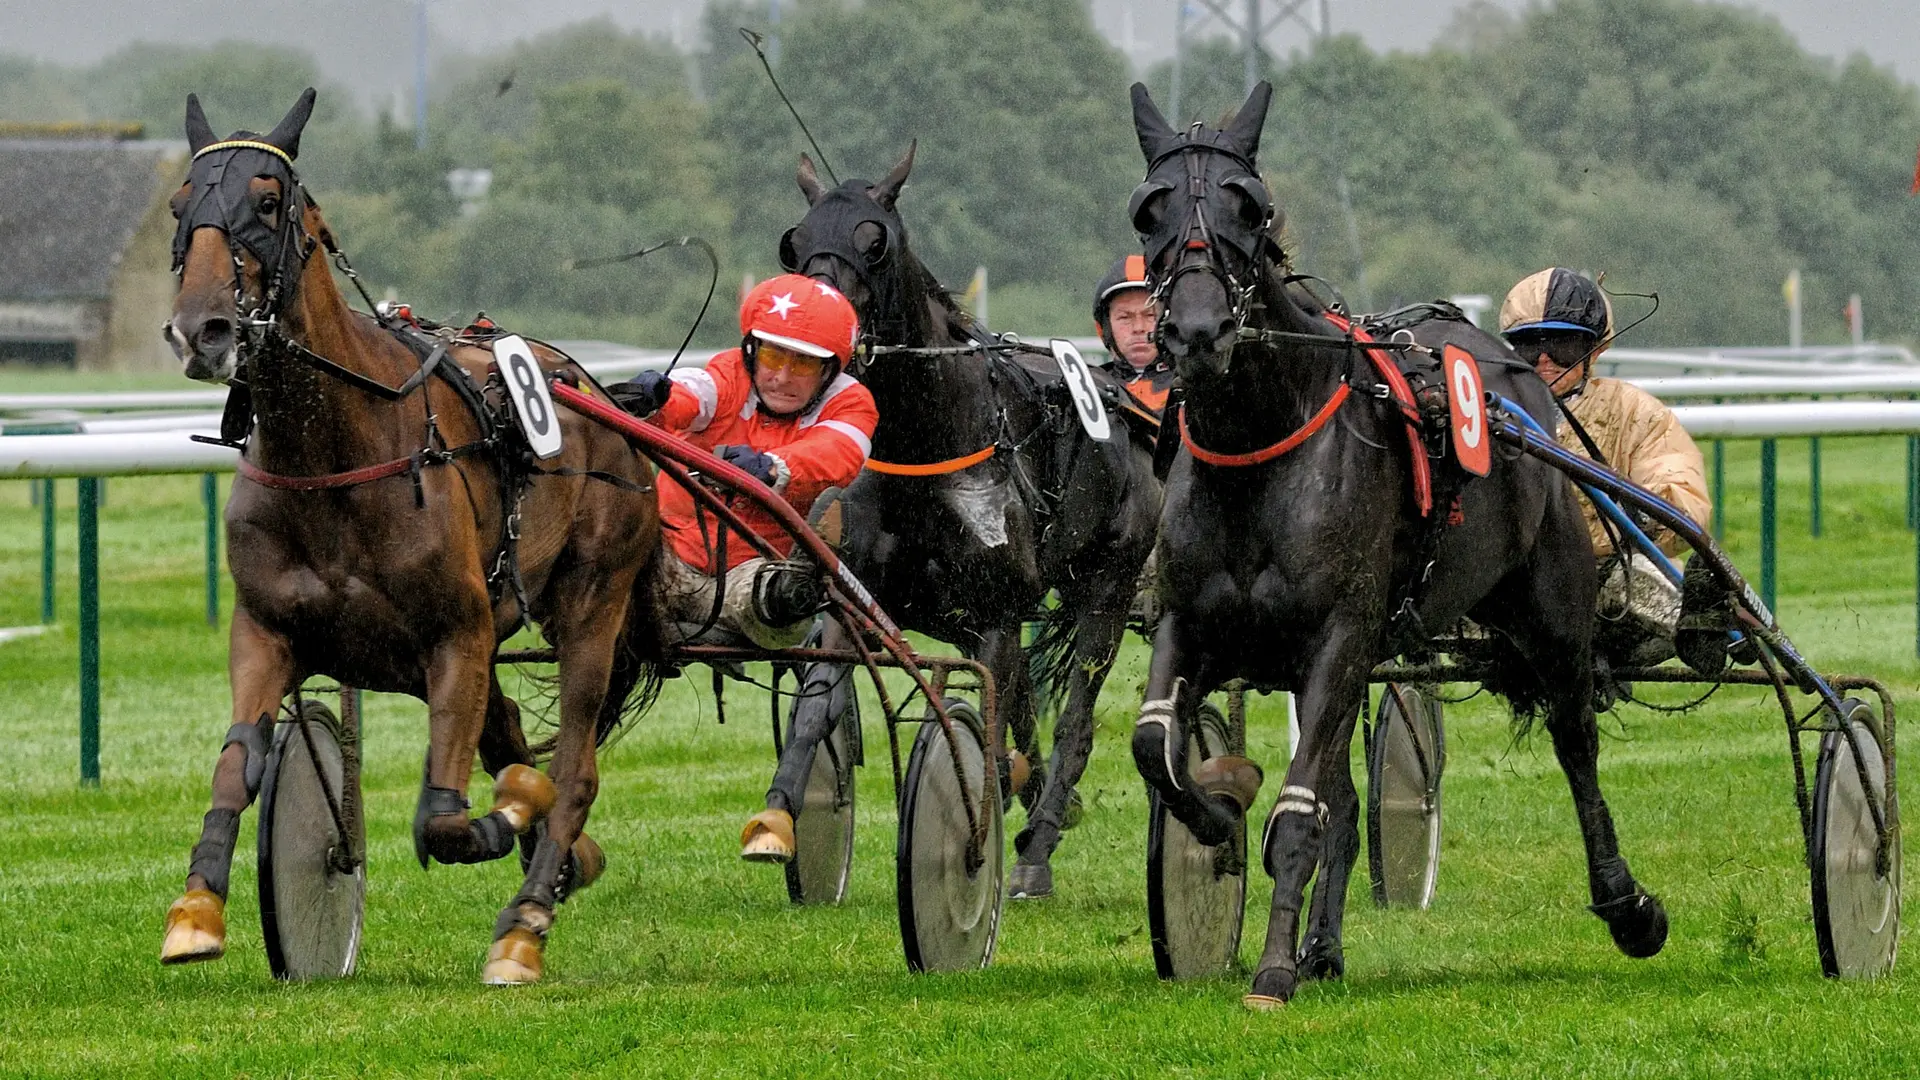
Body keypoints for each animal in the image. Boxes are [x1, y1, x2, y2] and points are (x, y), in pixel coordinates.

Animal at [159, 90, 668, 983]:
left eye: (267, 201)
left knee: (574, 766)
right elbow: (235, 764)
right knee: (513, 733)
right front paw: (197, 906)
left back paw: (526, 921)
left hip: (593, 603)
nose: (203, 330)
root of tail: (603, 397)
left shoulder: (456, 634)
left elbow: (444, 816)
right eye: (182, 205)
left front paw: (515, 817)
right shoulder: (265, 628)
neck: (337, 453)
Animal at [760, 145, 1152, 899]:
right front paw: (780, 819)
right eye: (794, 242)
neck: (925, 446)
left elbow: (1001, 720)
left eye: (875, 241)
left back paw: (1037, 844)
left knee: (1075, 715)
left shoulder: (997, 609)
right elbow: (818, 704)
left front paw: (983, 843)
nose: (816, 334)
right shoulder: (854, 598)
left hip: (1110, 586)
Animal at [1121, 82, 1666, 999]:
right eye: (1147, 208)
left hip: (1549, 610)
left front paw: (1272, 970)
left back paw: (1627, 906)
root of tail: (1517, 378)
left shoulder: (1340, 633)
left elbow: (1299, 814)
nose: (1197, 331)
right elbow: (1157, 745)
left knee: (1576, 741)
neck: (1261, 442)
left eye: (1251, 206)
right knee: (1341, 792)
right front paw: (1220, 819)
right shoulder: (1191, 621)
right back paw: (1324, 945)